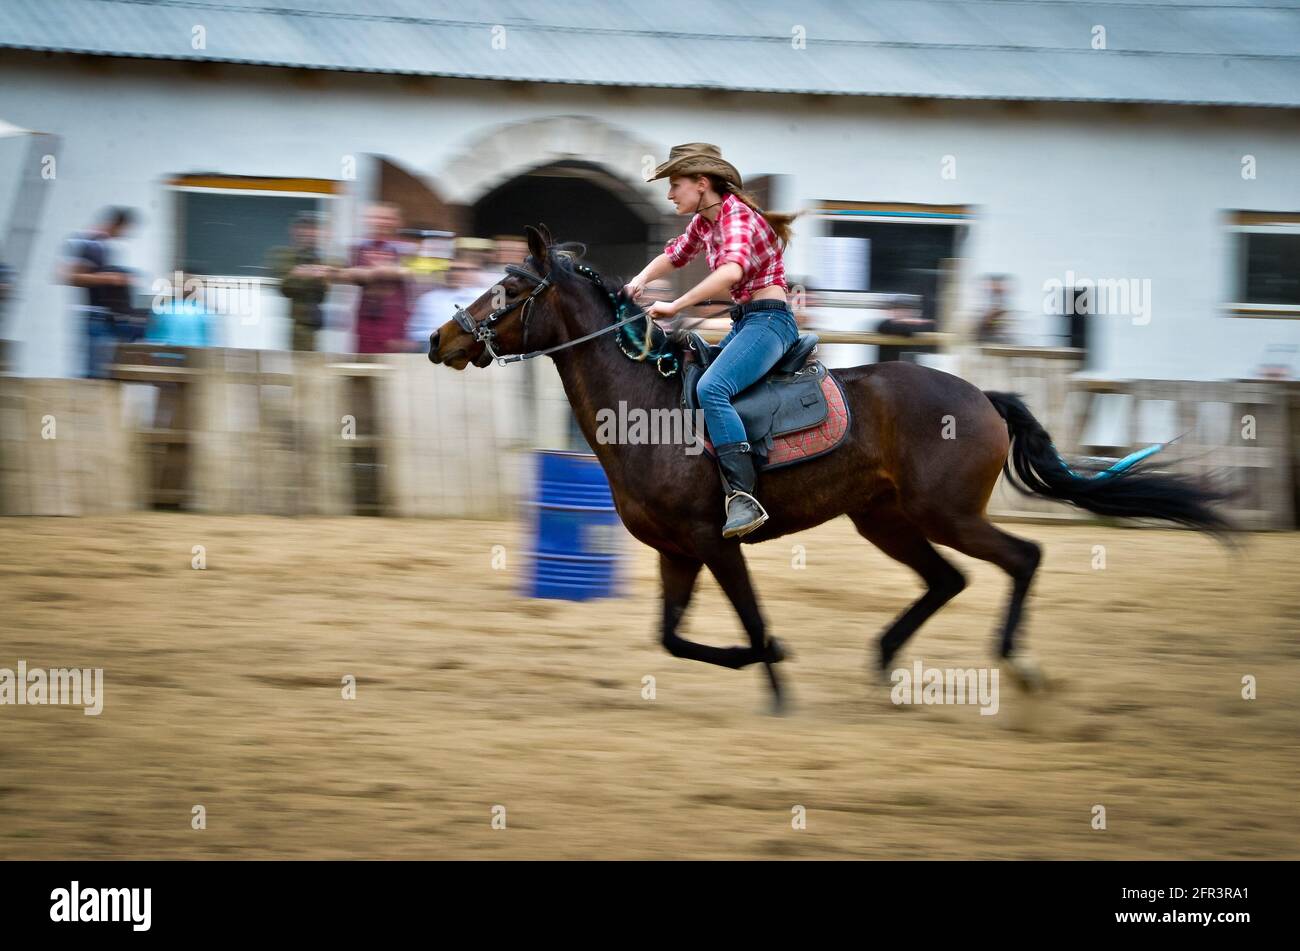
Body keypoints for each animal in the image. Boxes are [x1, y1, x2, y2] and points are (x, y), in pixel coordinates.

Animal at [428, 226, 1227, 711]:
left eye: (509, 288)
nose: (440, 338)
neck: (648, 405)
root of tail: (983, 399)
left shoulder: (715, 542)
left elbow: (750, 620)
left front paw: (778, 689)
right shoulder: (675, 551)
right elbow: (672, 637)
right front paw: (765, 662)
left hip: (946, 513)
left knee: (1021, 557)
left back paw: (1017, 666)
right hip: (885, 518)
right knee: (947, 579)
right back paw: (884, 664)